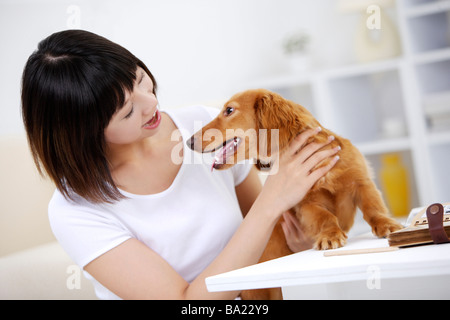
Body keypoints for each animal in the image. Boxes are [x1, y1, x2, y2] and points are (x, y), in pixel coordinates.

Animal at [186, 89, 400, 298]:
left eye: (229, 110)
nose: (189, 142)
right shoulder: (306, 205)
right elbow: (326, 217)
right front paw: (330, 235)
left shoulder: (361, 182)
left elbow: (372, 207)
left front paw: (387, 225)